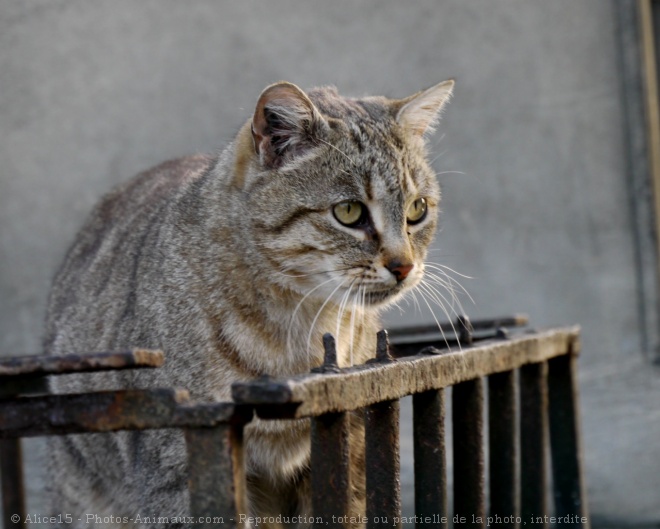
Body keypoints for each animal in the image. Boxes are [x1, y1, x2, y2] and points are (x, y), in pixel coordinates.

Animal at [42, 76, 454, 524]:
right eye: (348, 211)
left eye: (418, 209)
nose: (404, 266)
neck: (305, 326)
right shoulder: (182, 463)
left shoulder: (348, 455)